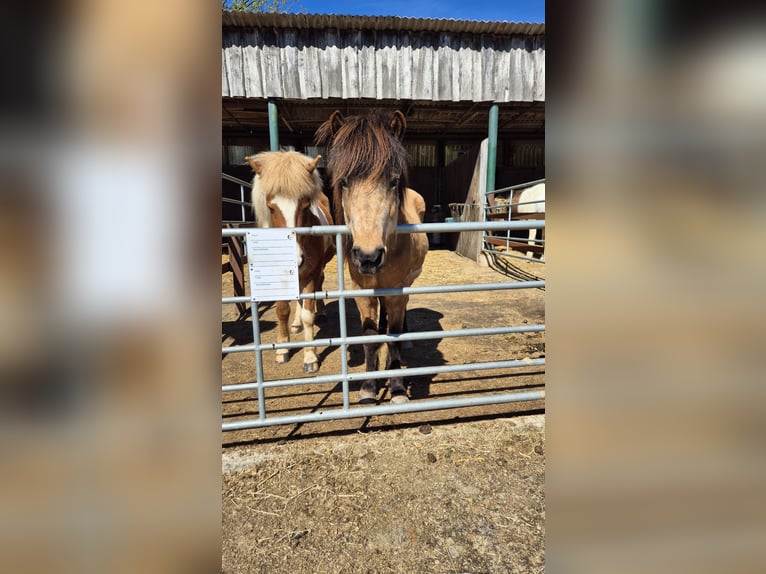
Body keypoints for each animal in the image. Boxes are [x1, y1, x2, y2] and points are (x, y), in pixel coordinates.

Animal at [245, 151, 335, 374]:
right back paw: (295, 324)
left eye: (305, 206)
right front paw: (282, 349)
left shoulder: (311, 273)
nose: (294, 260)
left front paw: (310, 357)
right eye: (271, 208)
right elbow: (282, 310)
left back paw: (321, 312)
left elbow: (308, 314)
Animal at [315, 109, 428, 404]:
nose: (368, 257)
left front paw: (397, 388)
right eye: (343, 182)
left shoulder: (397, 291)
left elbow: (393, 336)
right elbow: (369, 337)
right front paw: (368, 387)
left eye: (394, 180)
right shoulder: (362, 292)